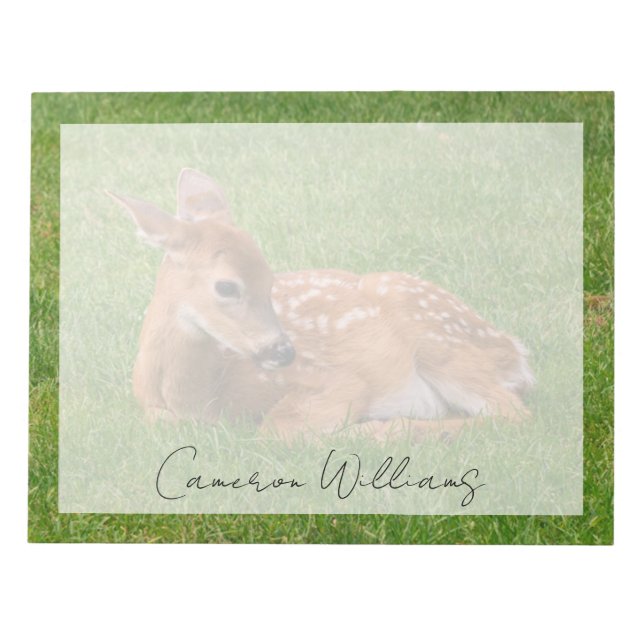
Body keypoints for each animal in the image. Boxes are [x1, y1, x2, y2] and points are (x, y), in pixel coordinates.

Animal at [107, 169, 534, 442]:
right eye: (226, 286)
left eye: (271, 278)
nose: (284, 352)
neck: (199, 397)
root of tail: (513, 350)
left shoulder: (336, 380)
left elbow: (275, 429)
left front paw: (368, 427)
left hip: (440, 340)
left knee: (514, 414)